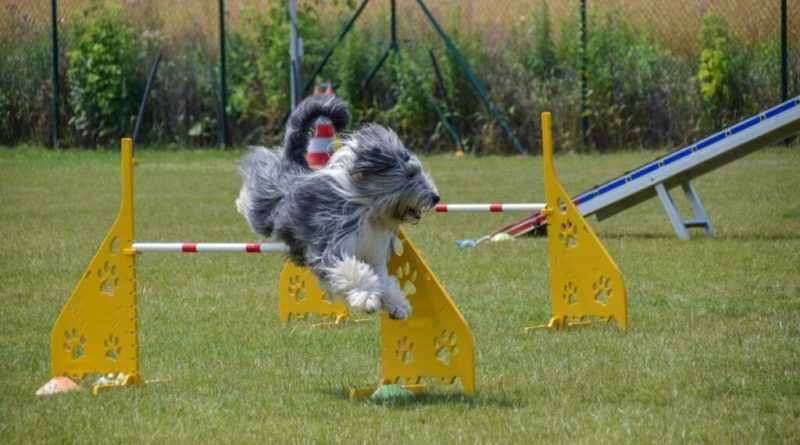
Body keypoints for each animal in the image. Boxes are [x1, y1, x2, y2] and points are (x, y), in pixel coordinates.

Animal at [234, 94, 440, 320]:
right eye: (410, 174)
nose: (435, 198)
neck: (368, 211)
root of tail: (292, 165)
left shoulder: (373, 253)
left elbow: (383, 280)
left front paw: (398, 304)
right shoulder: (331, 245)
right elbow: (352, 269)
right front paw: (368, 298)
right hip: (265, 206)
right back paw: (242, 200)